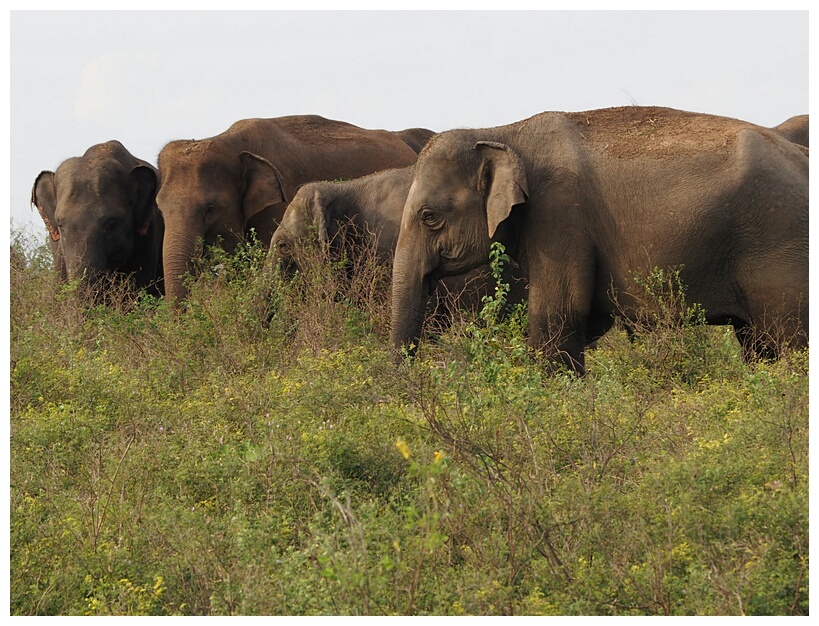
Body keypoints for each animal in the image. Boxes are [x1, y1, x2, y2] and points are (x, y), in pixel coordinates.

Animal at [394, 105, 812, 372]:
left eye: (429, 217)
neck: (501, 132)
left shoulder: (560, 215)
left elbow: (558, 313)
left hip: (780, 242)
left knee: (791, 338)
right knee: (758, 343)